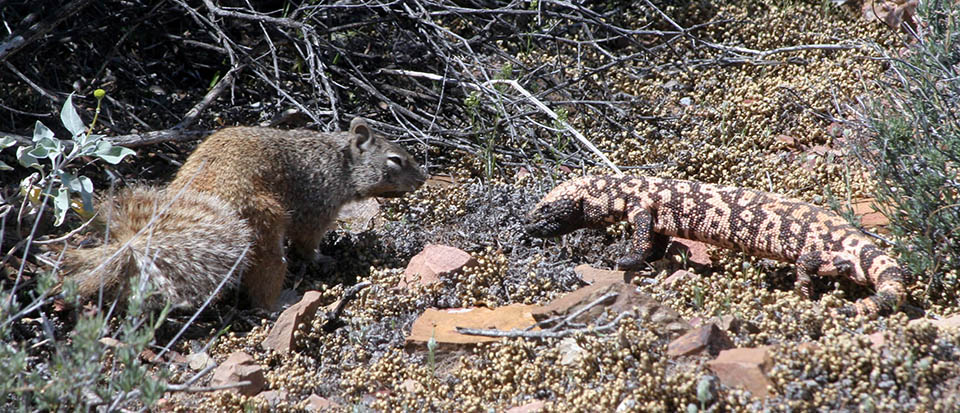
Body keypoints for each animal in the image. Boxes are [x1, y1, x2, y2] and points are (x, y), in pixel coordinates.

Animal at [62, 117, 426, 310]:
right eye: (395, 160)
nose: (422, 178)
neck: (339, 162)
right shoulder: (317, 207)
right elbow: (307, 241)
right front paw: (323, 259)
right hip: (266, 230)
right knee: (264, 284)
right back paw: (283, 301)